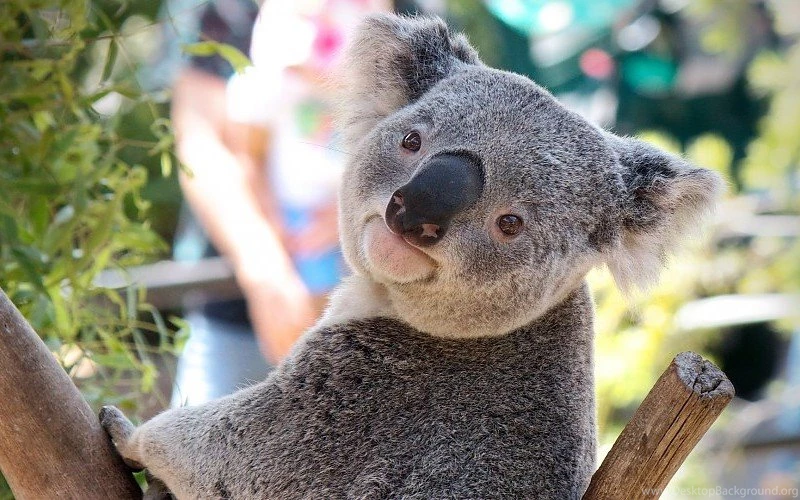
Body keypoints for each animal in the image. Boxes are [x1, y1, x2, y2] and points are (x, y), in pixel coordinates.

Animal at [100, 13, 723, 499]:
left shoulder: (363, 399)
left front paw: (126, 432)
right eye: (412, 142)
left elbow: (239, 456)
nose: (412, 212)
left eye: (511, 223)